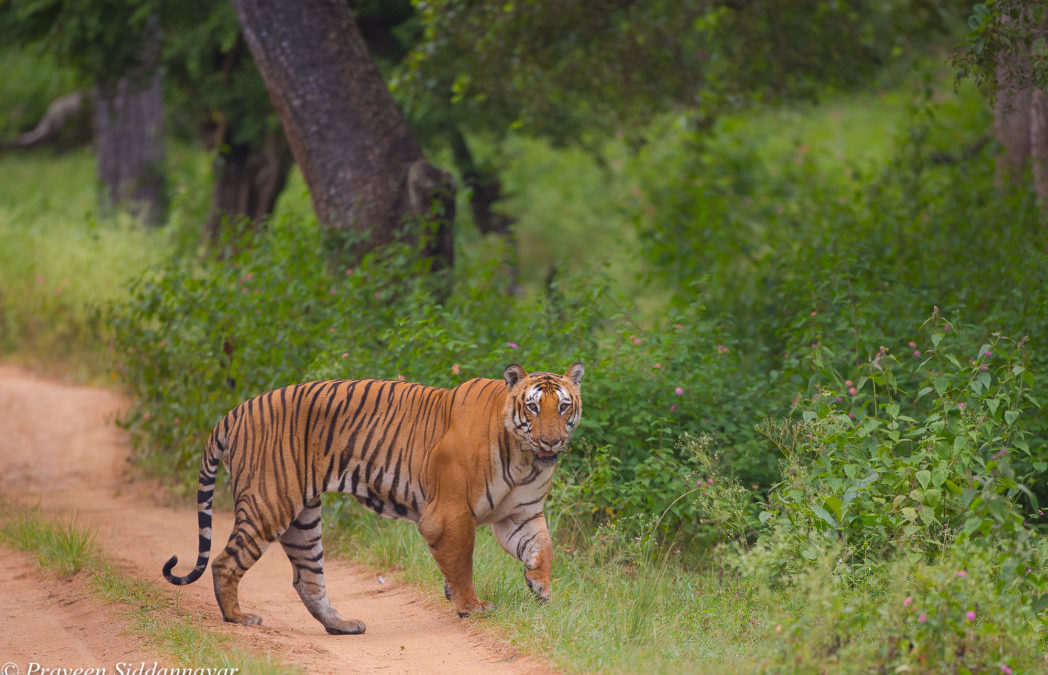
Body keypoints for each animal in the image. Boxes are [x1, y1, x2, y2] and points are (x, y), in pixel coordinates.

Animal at [161, 364, 582, 633]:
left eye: (563, 406)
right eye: (532, 407)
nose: (551, 442)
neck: (525, 457)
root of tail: (238, 410)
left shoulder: (520, 516)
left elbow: (543, 549)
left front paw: (542, 589)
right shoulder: (449, 515)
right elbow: (463, 566)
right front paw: (471, 608)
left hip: (303, 518)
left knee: (307, 579)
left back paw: (342, 626)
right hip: (270, 501)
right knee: (225, 562)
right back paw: (238, 619)